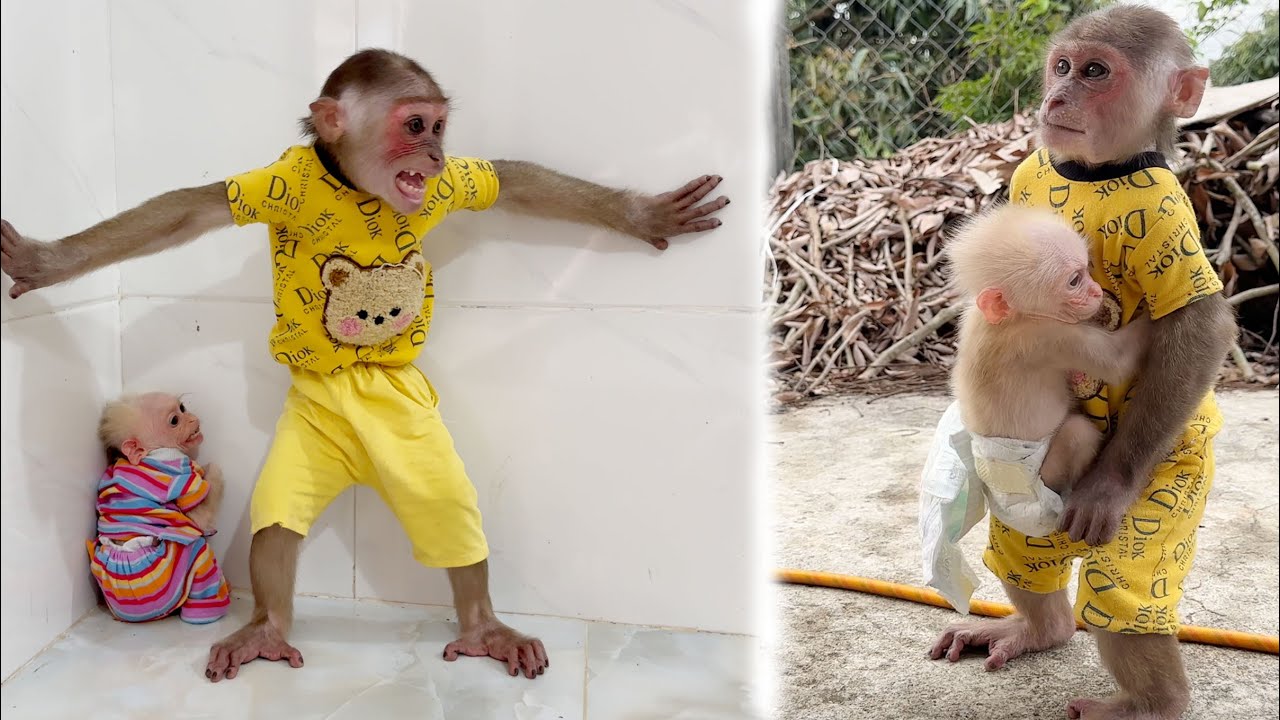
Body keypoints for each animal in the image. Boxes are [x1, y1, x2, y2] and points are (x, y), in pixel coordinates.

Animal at [87, 393, 231, 624]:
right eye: (175, 421)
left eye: (182, 408)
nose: (192, 418)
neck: (148, 454)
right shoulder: (175, 462)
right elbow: (200, 517)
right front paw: (211, 469)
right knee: (199, 551)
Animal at [947, 205, 1150, 510]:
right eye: (1075, 281)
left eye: (1086, 269)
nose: (1096, 291)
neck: (1014, 318)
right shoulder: (1047, 335)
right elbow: (1117, 362)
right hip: (1036, 480)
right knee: (1078, 433)